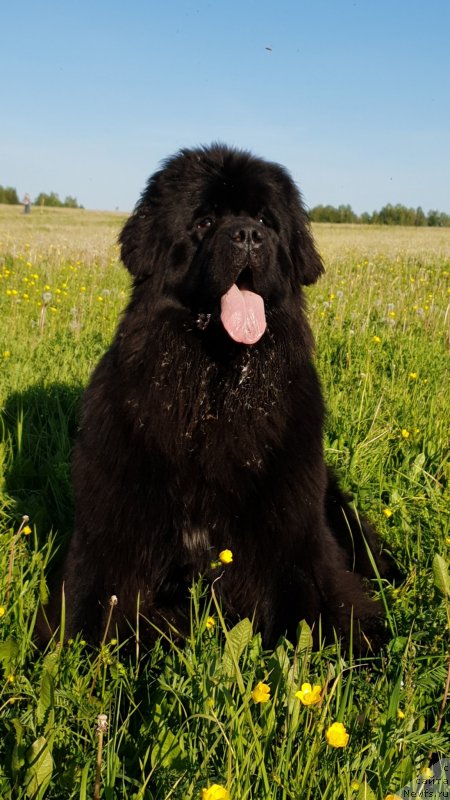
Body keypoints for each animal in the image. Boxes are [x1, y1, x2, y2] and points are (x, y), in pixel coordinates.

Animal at [44, 145, 394, 648]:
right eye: (205, 221)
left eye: (266, 220)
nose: (247, 235)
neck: (215, 391)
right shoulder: (110, 540)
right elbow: (83, 622)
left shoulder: (296, 537)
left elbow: (317, 618)